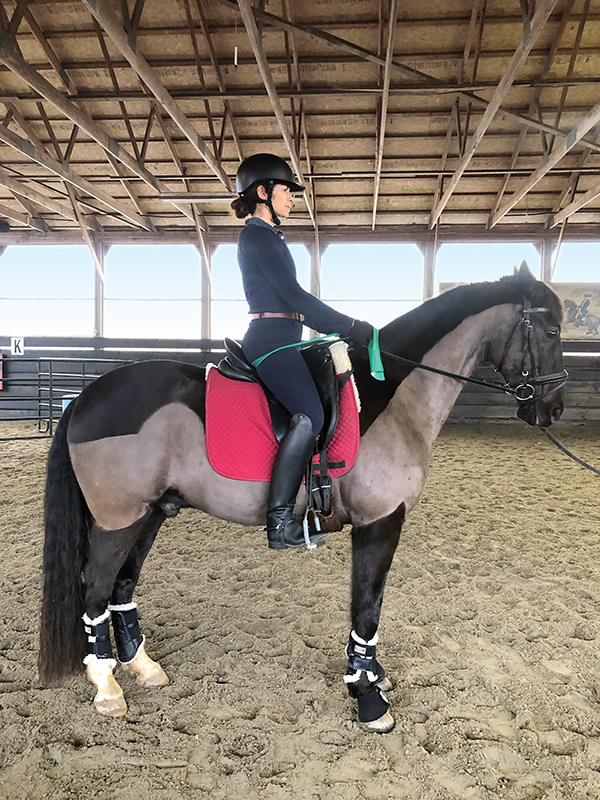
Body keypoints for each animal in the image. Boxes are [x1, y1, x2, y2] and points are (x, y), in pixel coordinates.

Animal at [38, 262, 565, 734]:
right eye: (552, 329)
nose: (553, 409)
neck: (395, 397)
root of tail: (87, 396)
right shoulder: (379, 522)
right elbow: (367, 608)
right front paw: (368, 698)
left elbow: (365, 609)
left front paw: (370, 677)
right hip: (118, 519)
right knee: (95, 588)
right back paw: (107, 688)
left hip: (151, 513)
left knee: (121, 586)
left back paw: (143, 667)